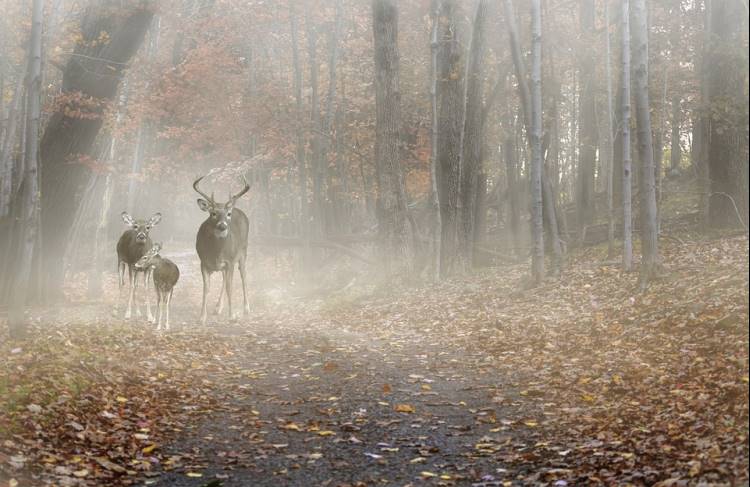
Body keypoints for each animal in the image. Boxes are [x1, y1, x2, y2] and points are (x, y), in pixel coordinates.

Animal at [194, 175, 253, 324]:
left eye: (228, 214)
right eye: (213, 213)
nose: (222, 226)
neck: (216, 252)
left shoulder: (230, 261)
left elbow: (229, 287)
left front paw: (232, 316)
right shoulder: (203, 262)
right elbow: (206, 288)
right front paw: (202, 317)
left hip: (243, 251)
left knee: (243, 275)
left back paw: (246, 308)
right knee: (224, 278)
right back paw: (218, 308)